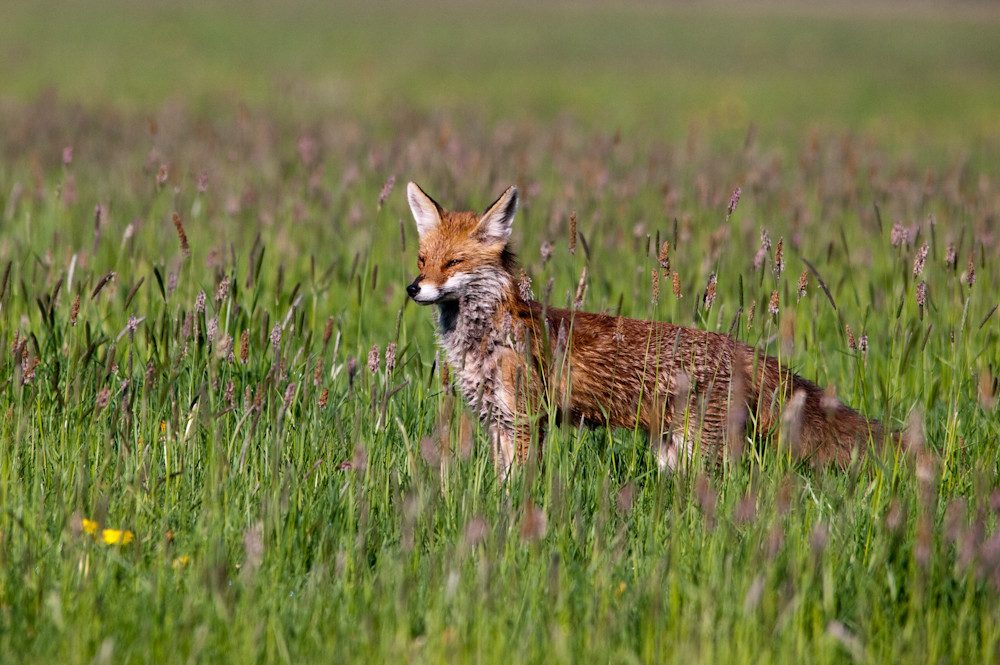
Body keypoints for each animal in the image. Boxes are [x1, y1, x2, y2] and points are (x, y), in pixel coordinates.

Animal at [406, 182, 892, 482]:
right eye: (422, 260)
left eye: (454, 263)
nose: (414, 288)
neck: (486, 335)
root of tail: (744, 349)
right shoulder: (497, 420)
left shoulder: (526, 419)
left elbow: (518, 485)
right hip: (672, 455)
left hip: (701, 454)